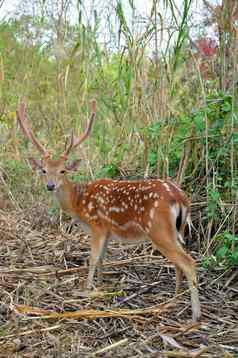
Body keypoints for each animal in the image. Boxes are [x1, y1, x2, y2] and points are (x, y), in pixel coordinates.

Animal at [15, 101, 200, 322]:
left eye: (63, 170)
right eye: (43, 170)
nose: (50, 186)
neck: (78, 203)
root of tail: (180, 198)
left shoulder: (98, 226)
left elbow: (93, 258)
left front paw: (86, 289)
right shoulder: (108, 232)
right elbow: (103, 258)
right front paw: (101, 285)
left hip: (158, 229)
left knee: (188, 262)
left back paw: (195, 315)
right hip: (177, 230)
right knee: (181, 261)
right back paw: (174, 298)